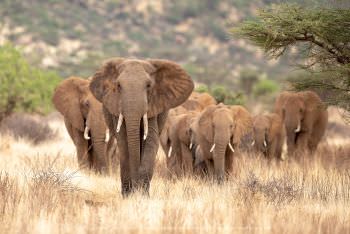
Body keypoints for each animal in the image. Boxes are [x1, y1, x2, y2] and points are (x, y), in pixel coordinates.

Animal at [89, 58, 193, 196]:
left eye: (148, 85)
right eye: (118, 86)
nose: (135, 188)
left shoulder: (153, 105)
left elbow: (150, 140)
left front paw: (142, 195)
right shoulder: (116, 107)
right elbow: (124, 142)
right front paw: (128, 195)